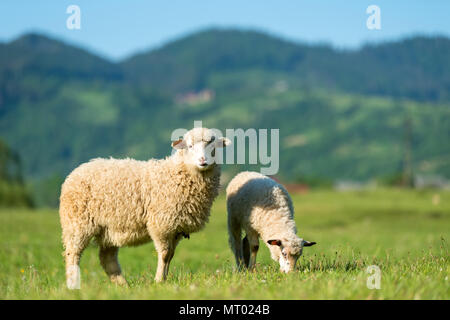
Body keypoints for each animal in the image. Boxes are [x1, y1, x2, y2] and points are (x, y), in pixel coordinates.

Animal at [58, 126, 230, 288]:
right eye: (189, 146)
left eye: (212, 145)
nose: (203, 160)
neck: (178, 173)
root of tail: (75, 173)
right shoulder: (161, 225)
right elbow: (165, 254)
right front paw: (159, 281)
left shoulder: (176, 229)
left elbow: (171, 255)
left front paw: (164, 279)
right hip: (77, 224)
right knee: (72, 254)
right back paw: (73, 286)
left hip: (109, 229)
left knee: (107, 258)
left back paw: (123, 286)